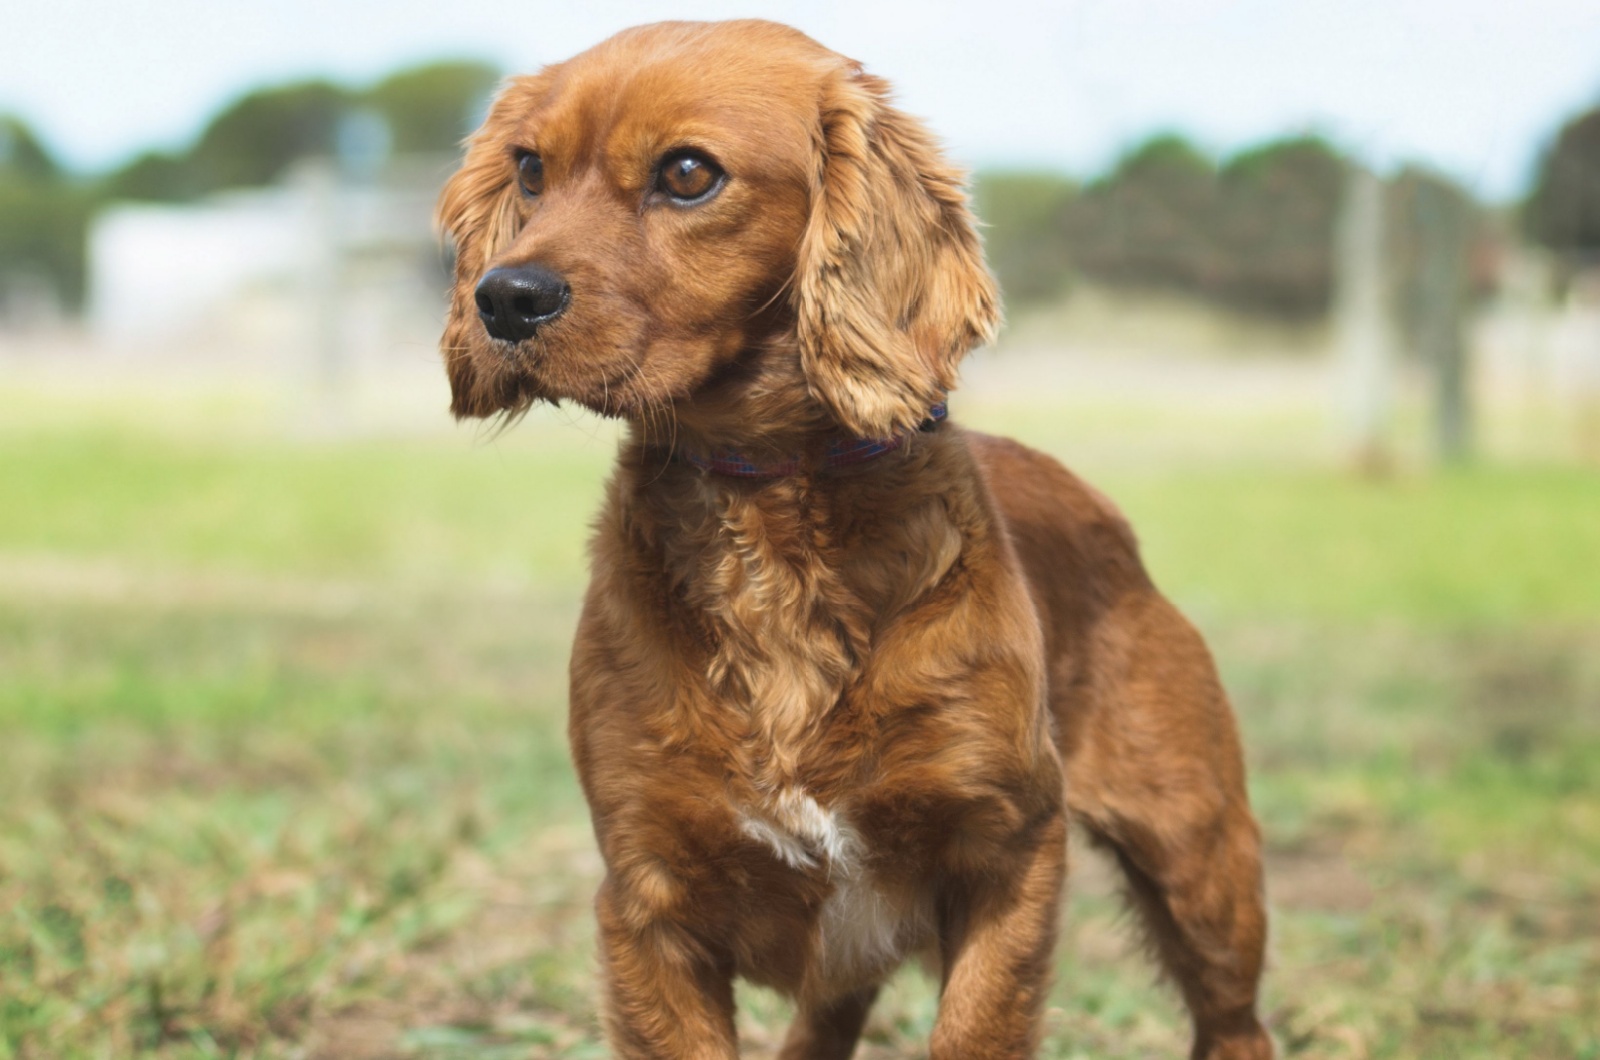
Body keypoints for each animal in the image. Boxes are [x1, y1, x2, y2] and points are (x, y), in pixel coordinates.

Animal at [441, 18, 1273, 1060]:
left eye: (687, 173)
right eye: (529, 169)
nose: (503, 298)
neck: (769, 516)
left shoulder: (1009, 855)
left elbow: (975, 1029)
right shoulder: (646, 900)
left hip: (1200, 855)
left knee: (1236, 1017)